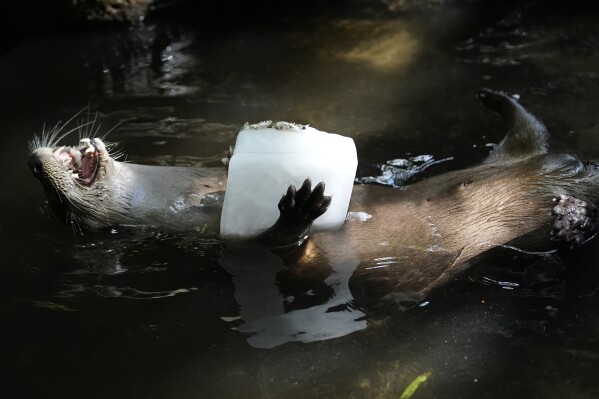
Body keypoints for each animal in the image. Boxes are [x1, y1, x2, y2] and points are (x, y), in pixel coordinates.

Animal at [29, 90, 599, 304]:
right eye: (57, 205)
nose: (33, 165)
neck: (186, 197)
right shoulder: (233, 245)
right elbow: (281, 247)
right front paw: (299, 207)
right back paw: (569, 223)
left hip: (514, 159)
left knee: (529, 137)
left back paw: (503, 103)